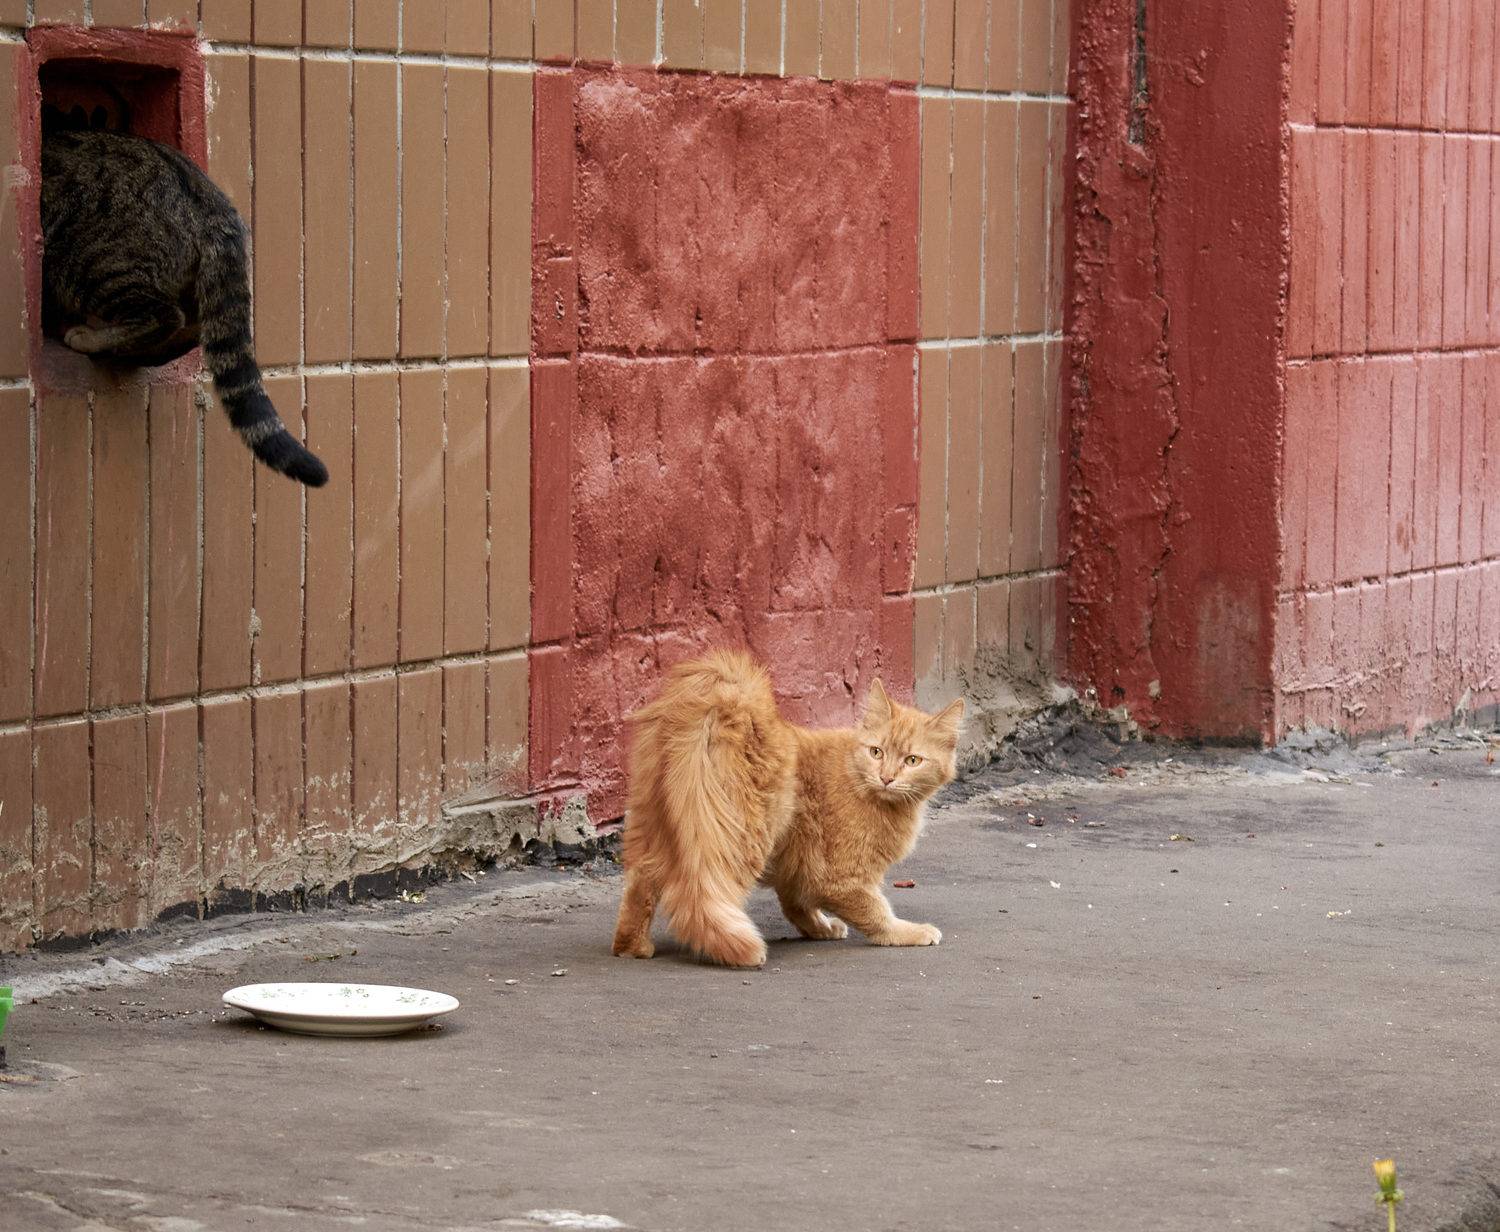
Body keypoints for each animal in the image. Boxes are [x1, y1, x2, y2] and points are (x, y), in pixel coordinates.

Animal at [612, 649, 963, 969]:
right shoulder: (843, 876)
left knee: (642, 879)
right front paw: (906, 932)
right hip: (742, 835)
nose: (887, 778)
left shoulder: (799, 864)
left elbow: (796, 903)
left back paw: (632, 946)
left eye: (912, 760)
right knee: (706, 895)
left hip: (654, 822)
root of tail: (727, 702)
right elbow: (876, 912)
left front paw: (819, 929)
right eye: (876, 752)